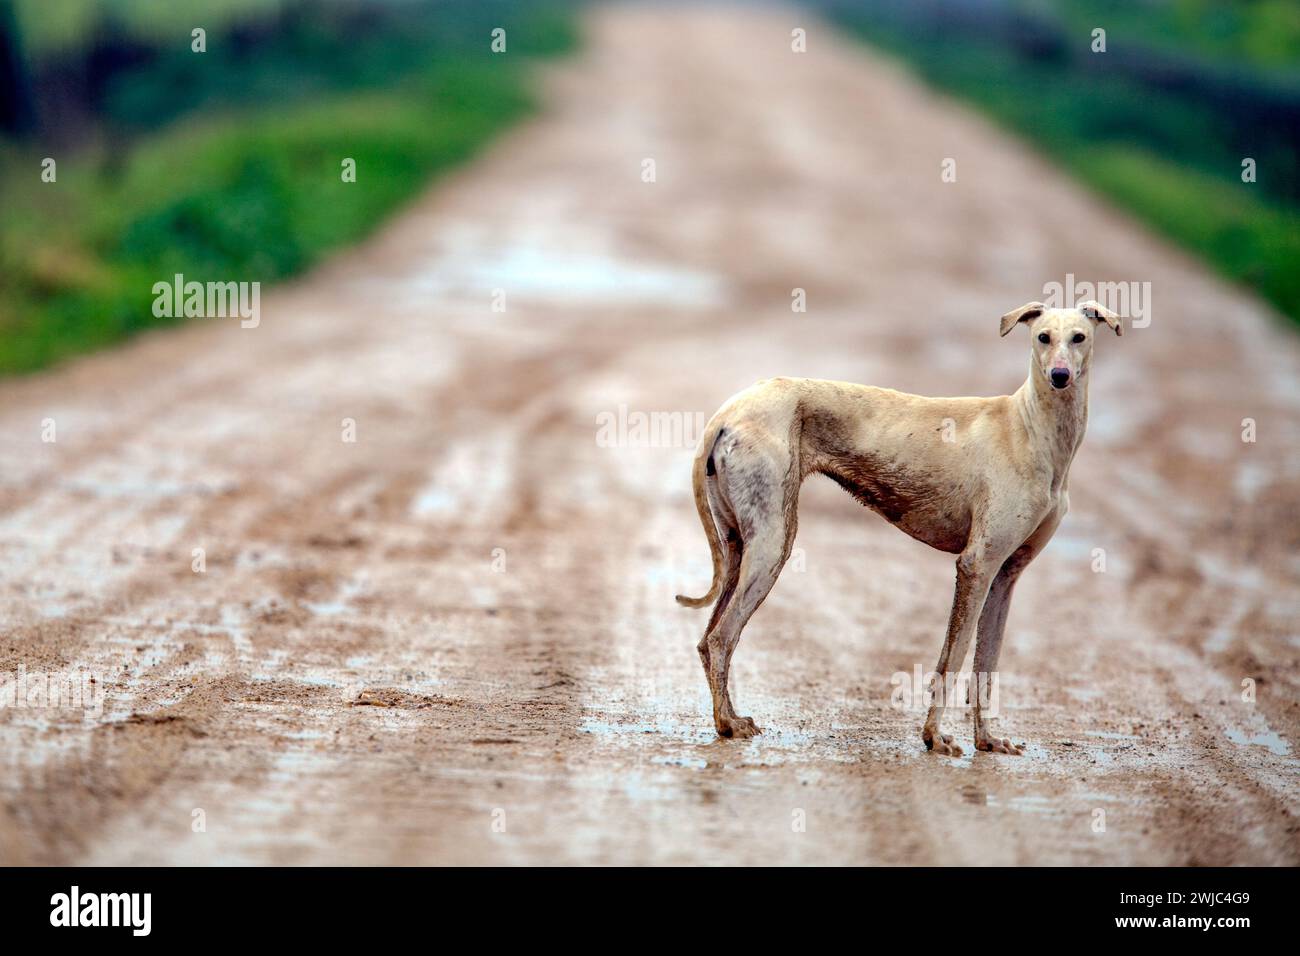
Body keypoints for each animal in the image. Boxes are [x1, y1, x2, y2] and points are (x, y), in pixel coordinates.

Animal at [676, 299, 1123, 754]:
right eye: (1043, 337)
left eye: (1079, 337)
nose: (1059, 377)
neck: (1030, 429)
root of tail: (727, 414)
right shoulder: (976, 565)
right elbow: (953, 658)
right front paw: (934, 737)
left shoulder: (1005, 575)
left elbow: (987, 664)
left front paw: (987, 740)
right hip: (773, 544)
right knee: (721, 638)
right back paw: (728, 725)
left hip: (739, 548)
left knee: (707, 639)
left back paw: (729, 718)